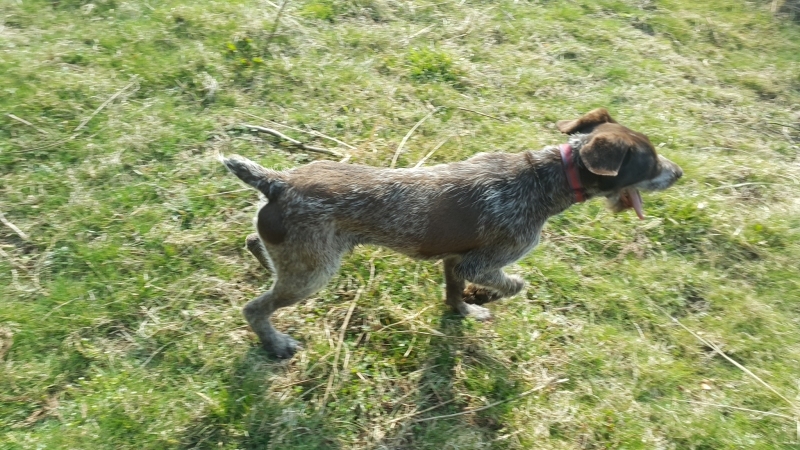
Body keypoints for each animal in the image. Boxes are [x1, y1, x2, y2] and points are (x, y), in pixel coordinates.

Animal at [221, 108, 683, 358]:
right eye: (650, 163)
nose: (679, 173)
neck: (545, 177)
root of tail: (278, 182)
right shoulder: (480, 262)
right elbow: (516, 284)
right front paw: (486, 297)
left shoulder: (454, 260)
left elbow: (453, 292)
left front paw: (464, 309)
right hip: (313, 272)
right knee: (255, 308)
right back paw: (275, 343)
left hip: (302, 257)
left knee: (256, 243)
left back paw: (264, 263)